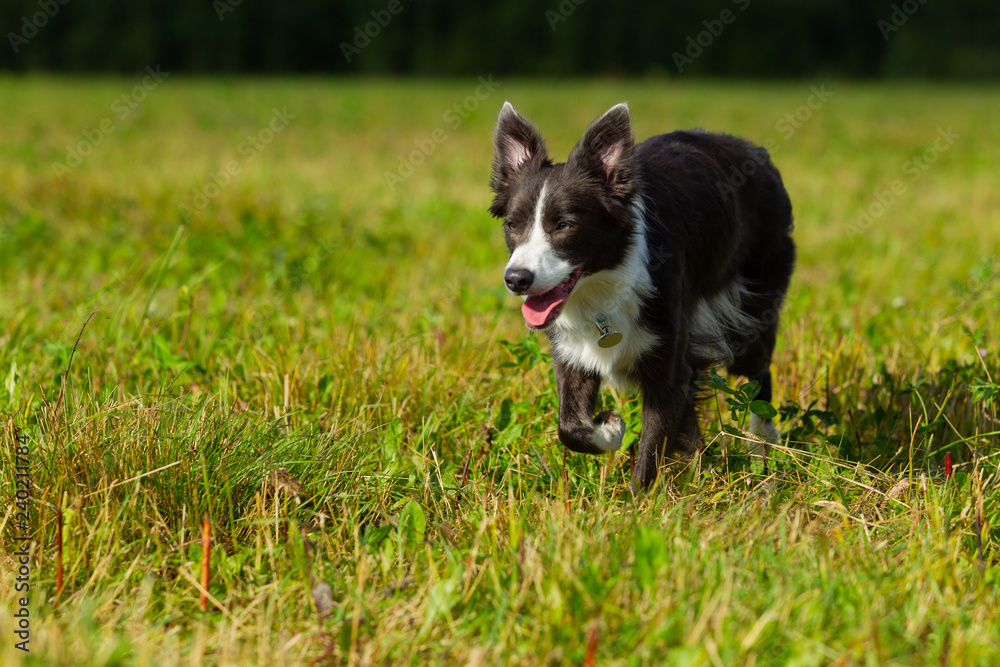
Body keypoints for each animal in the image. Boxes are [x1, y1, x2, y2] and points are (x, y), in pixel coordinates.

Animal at [490, 103, 796, 490]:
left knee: (759, 377)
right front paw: (610, 428)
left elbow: (653, 443)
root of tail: (754, 151)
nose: (516, 279)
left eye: (564, 226)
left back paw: (763, 452)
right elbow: (570, 427)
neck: (603, 282)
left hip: (750, 308)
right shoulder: (573, 353)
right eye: (512, 225)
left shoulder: (670, 362)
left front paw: (638, 499)